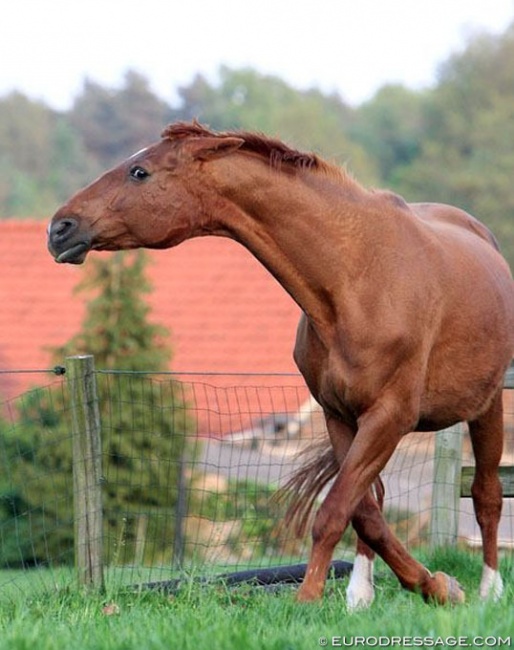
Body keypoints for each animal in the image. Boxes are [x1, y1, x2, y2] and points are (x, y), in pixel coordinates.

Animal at [46, 119, 510, 604]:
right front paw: (428, 585)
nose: (59, 228)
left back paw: (489, 590)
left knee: (486, 494)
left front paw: (310, 597)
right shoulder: (340, 418)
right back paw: (363, 594)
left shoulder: (389, 417)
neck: (357, 277)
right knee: (381, 499)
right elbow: (363, 512)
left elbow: (335, 510)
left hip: (487, 407)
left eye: (139, 172)